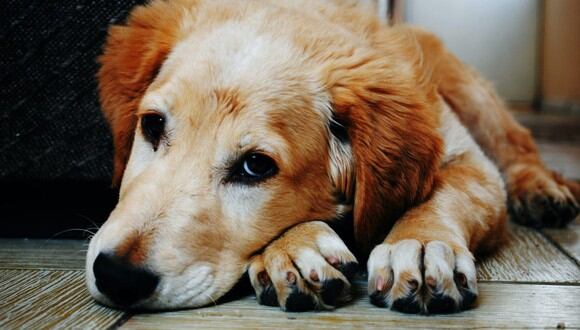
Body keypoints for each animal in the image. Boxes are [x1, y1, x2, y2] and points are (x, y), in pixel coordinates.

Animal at [87, 0, 580, 314]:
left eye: (256, 166)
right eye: (152, 126)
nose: (116, 276)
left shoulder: (470, 163)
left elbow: (444, 196)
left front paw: (419, 245)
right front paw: (295, 249)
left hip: (471, 93)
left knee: (518, 145)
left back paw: (542, 190)